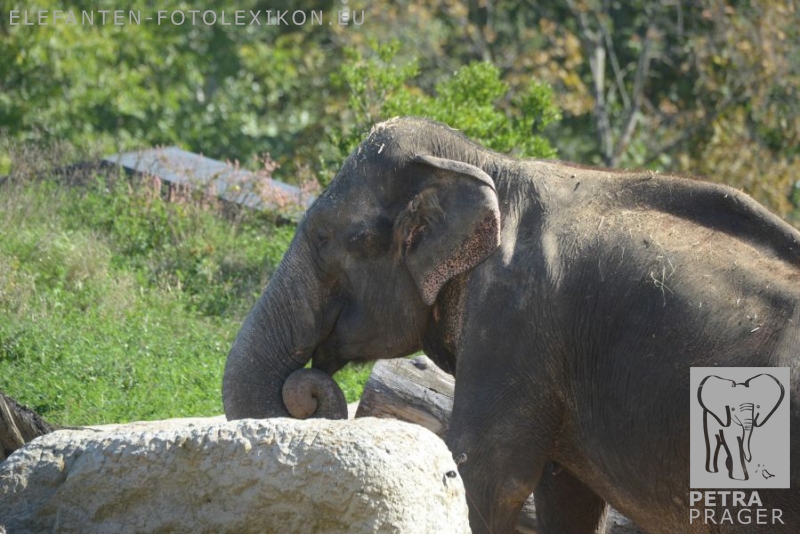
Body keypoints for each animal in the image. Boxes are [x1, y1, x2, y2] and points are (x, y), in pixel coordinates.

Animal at [223, 117, 800, 533]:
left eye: (327, 238)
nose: (308, 389)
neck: (487, 165)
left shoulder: (516, 315)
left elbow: (487, 476)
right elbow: (565, 497)